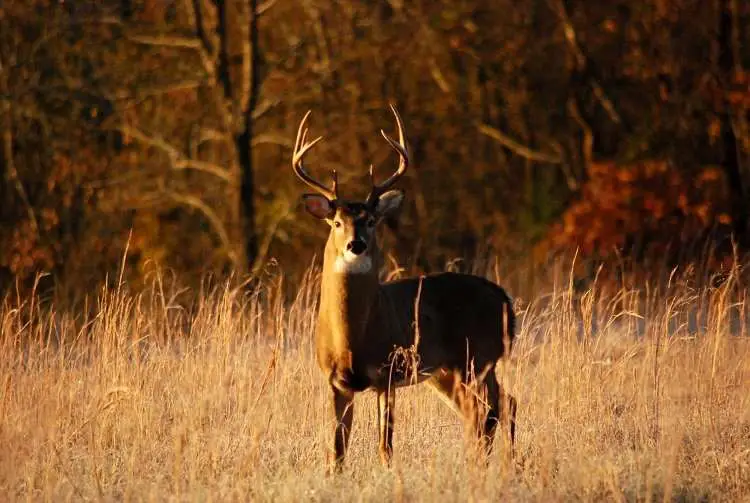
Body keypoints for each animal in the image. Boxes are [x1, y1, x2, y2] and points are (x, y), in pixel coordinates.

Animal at [292, 106, 516, 472]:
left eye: (371, 221)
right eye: (337, 222)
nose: (356, 244)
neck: (351, 339)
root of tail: (505, 299)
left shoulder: (387, 371)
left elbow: (385, 445)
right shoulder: (335, 381)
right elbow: (338, 449)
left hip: (479, 357)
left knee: (498, 408)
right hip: (449, 371)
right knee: (486, 411)